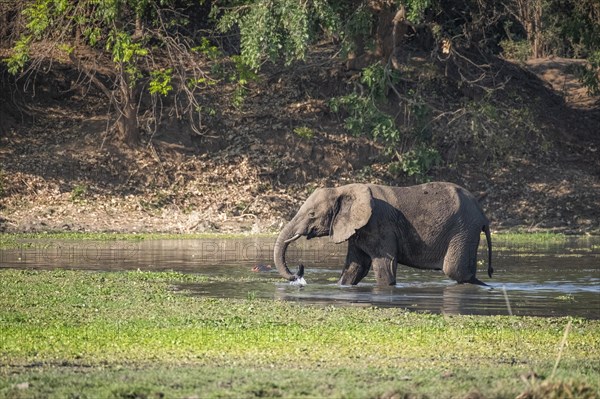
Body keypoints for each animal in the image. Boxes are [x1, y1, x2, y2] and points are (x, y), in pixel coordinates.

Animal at [274, 183, 494, 286]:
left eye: (312, 214)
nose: (299, 272)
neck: (342, 189)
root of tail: (482, 213)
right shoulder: (358, 229)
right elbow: (355, 267)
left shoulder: (379, 224)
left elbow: (384, 266)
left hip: (463, 230)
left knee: (455, 271)